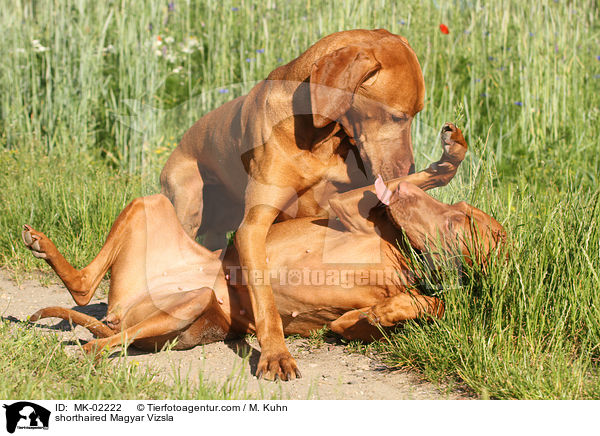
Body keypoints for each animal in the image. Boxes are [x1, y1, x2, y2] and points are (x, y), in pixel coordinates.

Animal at [21, 124, 504, 376]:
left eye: (457, 223)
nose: (401, 190)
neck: (400, 257)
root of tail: (120, 309)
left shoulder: (348, 324)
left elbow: (427, 305)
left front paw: (394, 309)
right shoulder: (344, 206)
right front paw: (448, 157)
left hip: (186, 309)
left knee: (96, 324)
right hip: (151, 207)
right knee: (86, 293)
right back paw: (45, 250)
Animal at [159, 29, 432, 378]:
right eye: (398, 116)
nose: (409, 170)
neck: (317, 135)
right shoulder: (253, 227)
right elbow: (265, 300)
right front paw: (276, 354)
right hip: (188, 203)